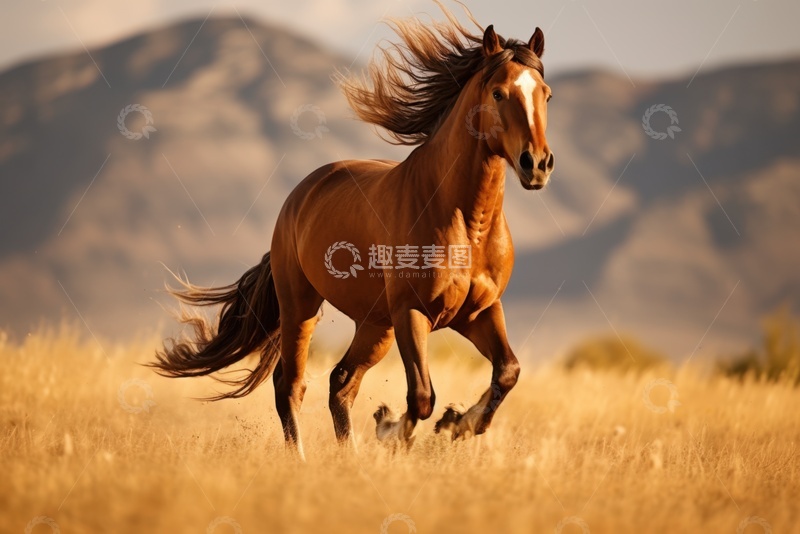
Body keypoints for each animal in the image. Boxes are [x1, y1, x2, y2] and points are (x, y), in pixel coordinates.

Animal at [151, 6, 554, 459]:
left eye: (546, 94)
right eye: (498, 93)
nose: (537, 164)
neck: (467, 225)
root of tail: (299, 196)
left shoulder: (480, 312)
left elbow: (507, 372)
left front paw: (459, 423)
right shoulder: (412, 313)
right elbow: (422, 396)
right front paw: (395, 429)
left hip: (375, 325)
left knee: (340, 382)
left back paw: (351, 456)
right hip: (303, 308)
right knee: (291, 385)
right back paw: (303, 459)